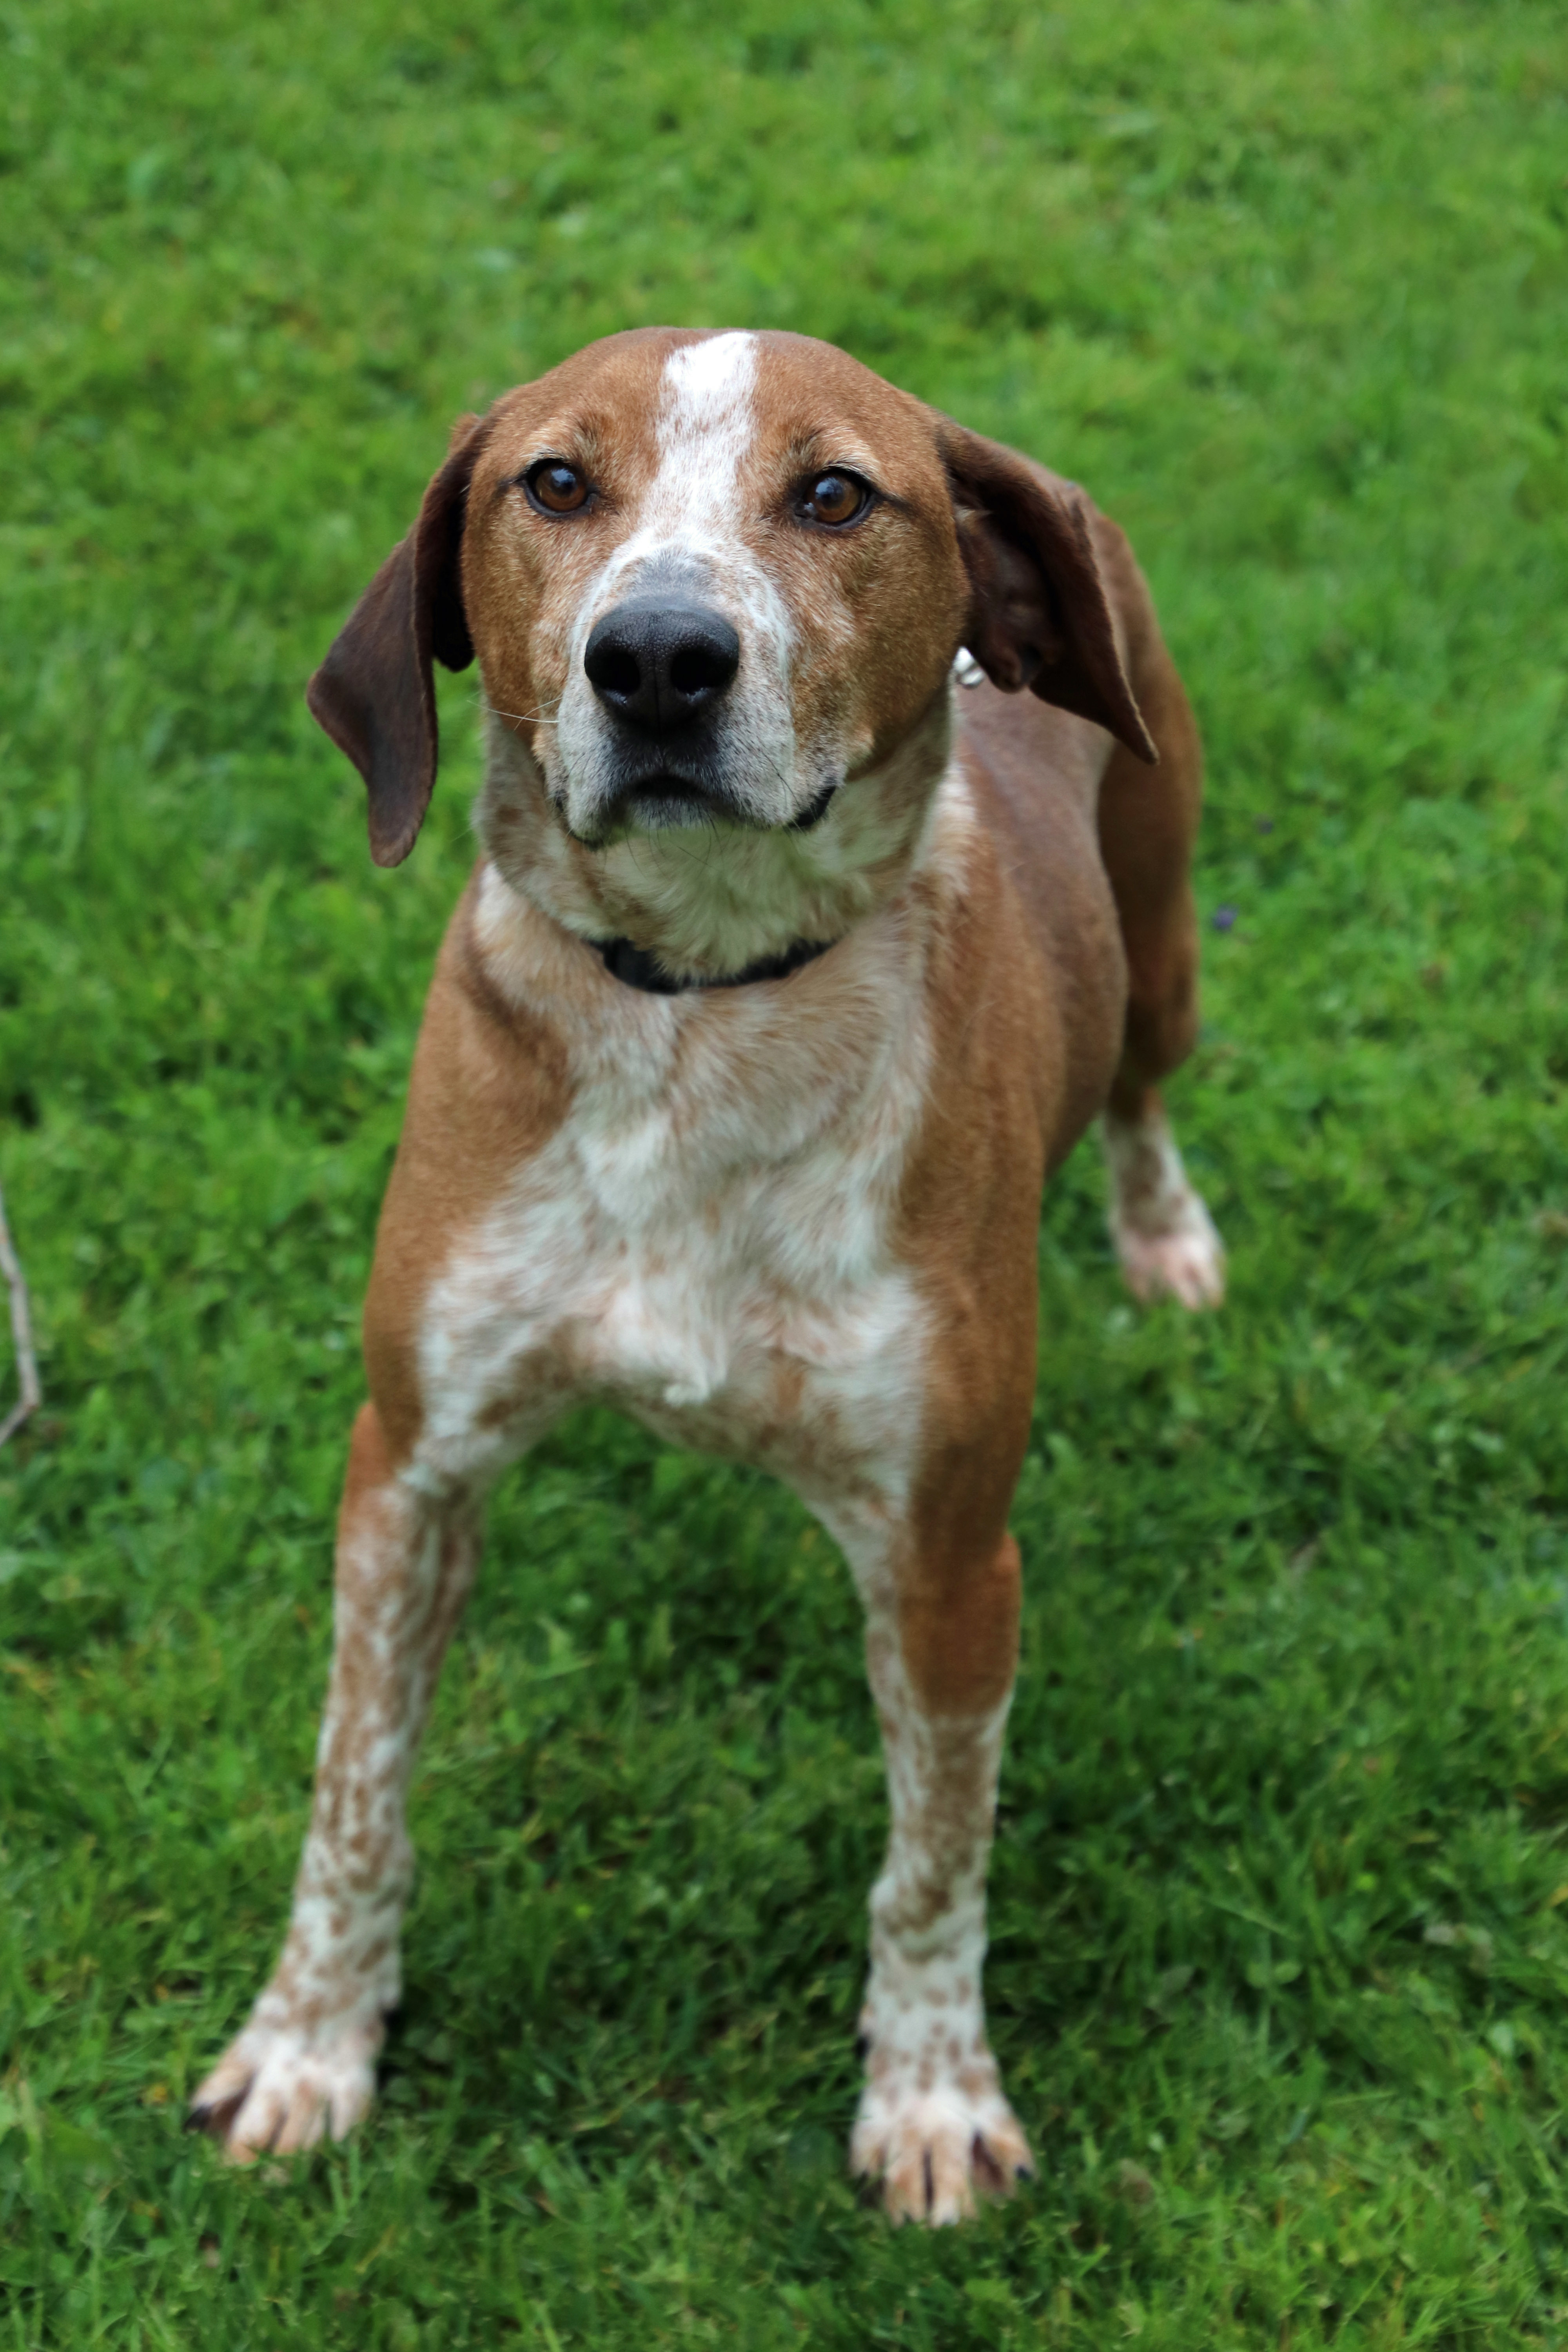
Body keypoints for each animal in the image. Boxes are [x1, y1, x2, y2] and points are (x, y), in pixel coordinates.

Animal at [187, 327, 1222, 2220]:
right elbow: (354, 1795)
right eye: (551, 480)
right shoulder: (408, 1466)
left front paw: (928, 2095)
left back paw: (1164, 1235)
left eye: (833, 493)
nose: (658, 656)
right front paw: (307, 2045)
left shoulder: (949, 1552)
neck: (703, 1009)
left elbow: (929, 1864)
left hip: (1166, 923)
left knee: (1140, 1089)